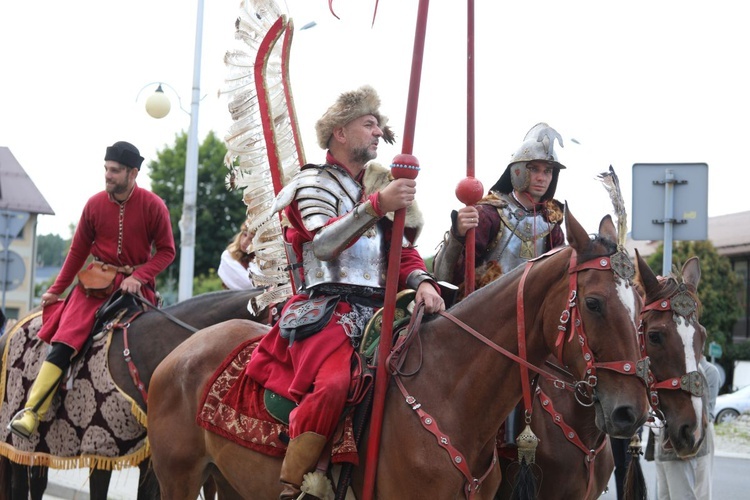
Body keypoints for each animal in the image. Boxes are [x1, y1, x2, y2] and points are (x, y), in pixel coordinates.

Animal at [145, 206, 652, 496]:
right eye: (593, 303)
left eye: (642, 310)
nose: (630, 411)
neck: (450, 393)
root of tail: (180, 353)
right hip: (179, 477)